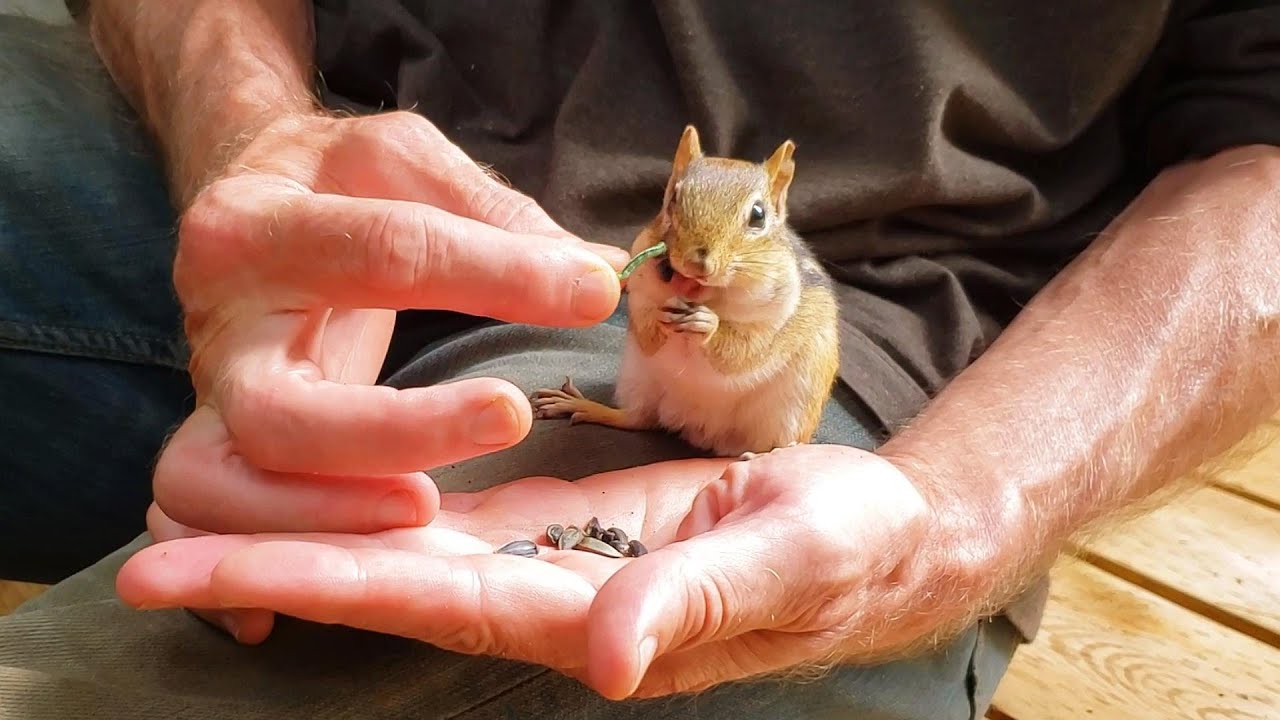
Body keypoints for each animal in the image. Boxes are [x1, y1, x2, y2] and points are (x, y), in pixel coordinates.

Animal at [532, 125, 840, 459]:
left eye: (758, 215)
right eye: (673, 199)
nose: (696, 264)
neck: (708, 296)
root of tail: (699, 429)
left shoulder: (778, 314)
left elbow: (745, 350)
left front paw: (708, 324)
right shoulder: (640, 293)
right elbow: (646, 329)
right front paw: (660, 317)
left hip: (792, 406)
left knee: (779, 442)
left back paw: (764, 455)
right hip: (638, 379)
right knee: (637, 419)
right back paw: (582, 405)